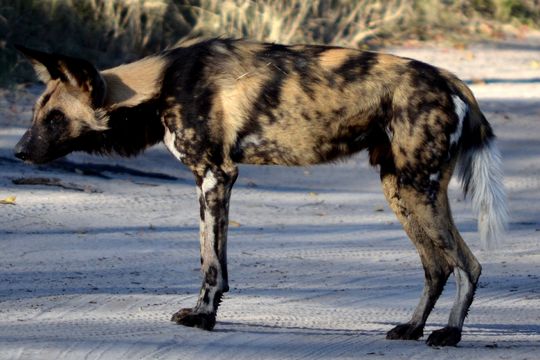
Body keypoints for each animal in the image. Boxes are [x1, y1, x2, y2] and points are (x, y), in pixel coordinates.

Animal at [14, 38, 508, 346]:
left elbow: (211, 264)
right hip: (402, 190)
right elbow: (212, 258)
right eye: (37, 113)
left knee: (468, 265)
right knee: (437, 267)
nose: (18, 151)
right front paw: (206, 313)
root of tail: (449, 78)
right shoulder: (212, 181)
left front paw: (203, 317)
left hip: (415, 190)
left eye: (55, 118)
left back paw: (450, 335)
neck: (160, 85)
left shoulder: (216, 176)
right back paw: (411, 328)